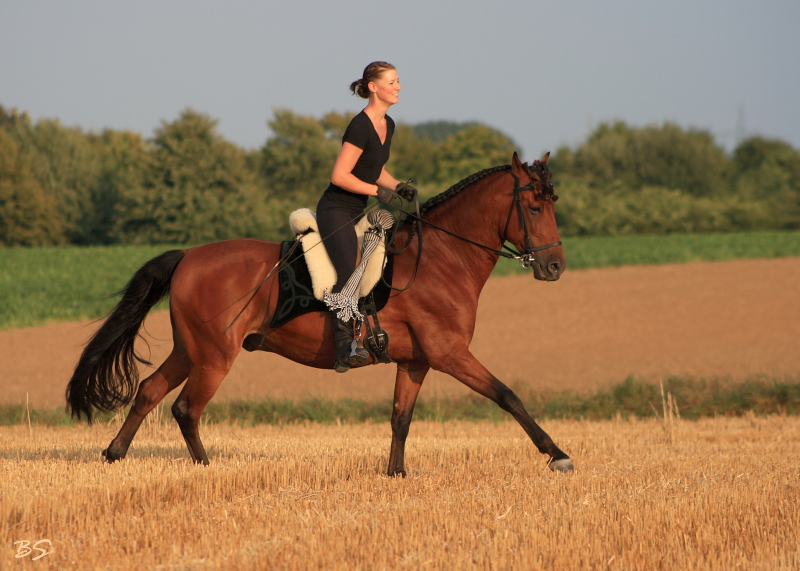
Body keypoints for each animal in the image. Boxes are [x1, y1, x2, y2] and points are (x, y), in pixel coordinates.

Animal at [64, 151, 576, 474]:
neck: (441, 258)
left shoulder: (417, 360)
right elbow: (508, 395)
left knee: (150, 391)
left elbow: (401, 418)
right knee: (186, 407)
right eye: (534, 207)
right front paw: (557, 454)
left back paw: (114, 454)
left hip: (190, 350)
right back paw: (205, 468)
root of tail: (189, 256)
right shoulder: (450, 354)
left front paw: (396, 474)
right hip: (214, 355)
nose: (554, 267)